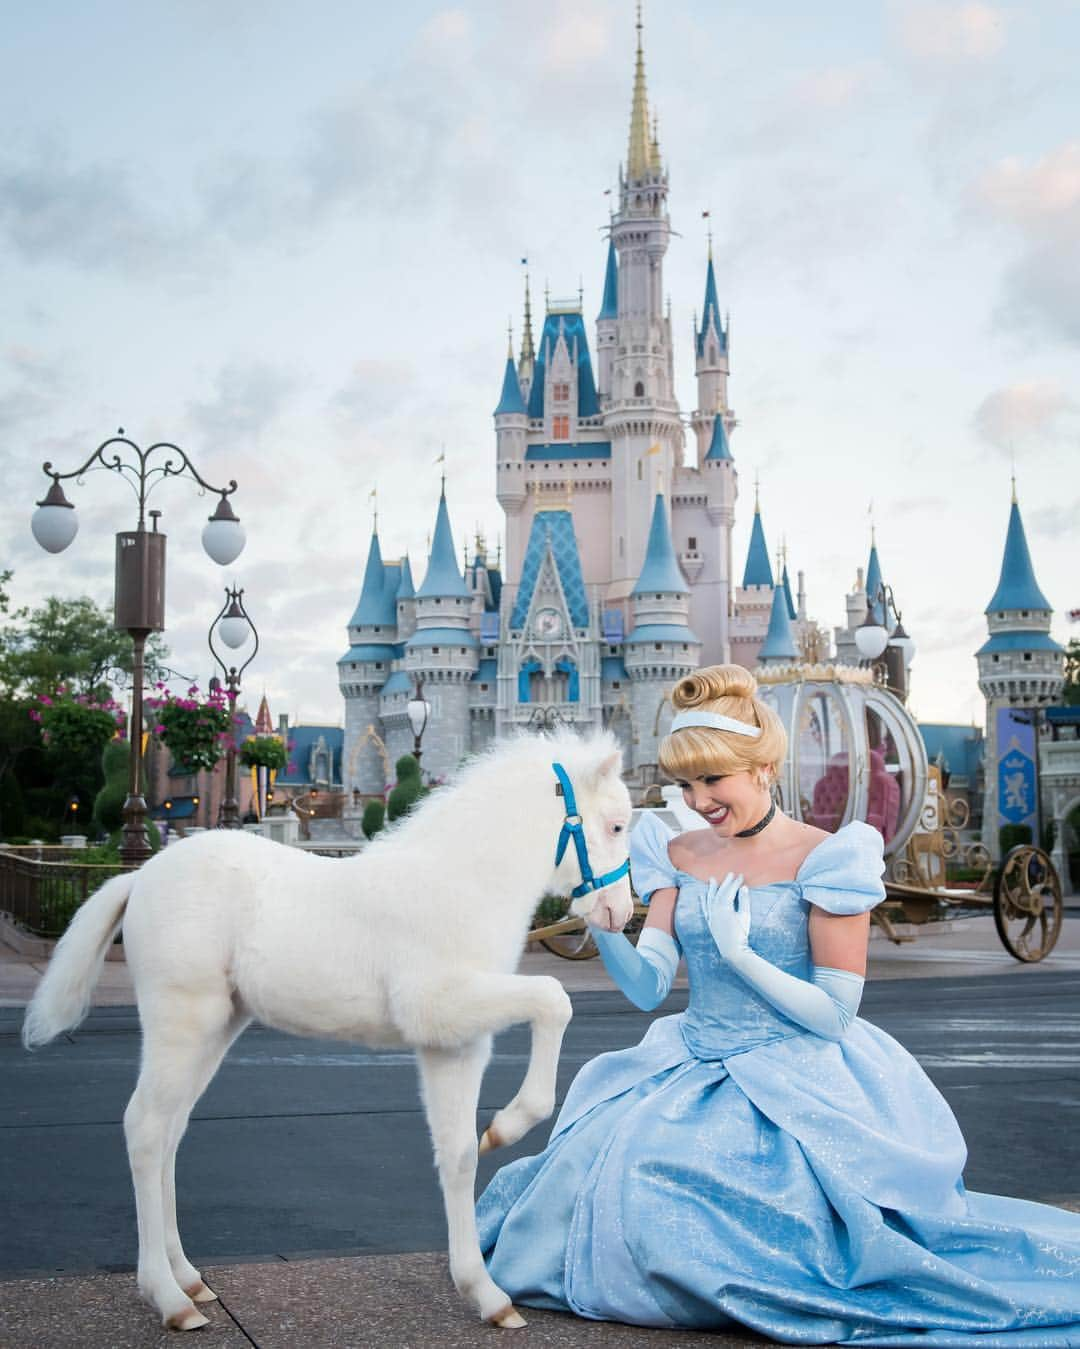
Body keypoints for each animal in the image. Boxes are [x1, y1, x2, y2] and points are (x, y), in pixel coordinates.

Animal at [23, 728, 631, 1327]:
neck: (460, 885)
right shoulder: (441, 1004)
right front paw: (509, 1125)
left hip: (215, 1030)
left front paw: (487, 1292)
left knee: (170, 1132)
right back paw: (169, 1300)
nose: (621, 913)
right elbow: (554, 1000)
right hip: (182, 1021)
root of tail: (140, 876)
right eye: (618, 824)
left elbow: (459, 1155)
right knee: (147, 1129)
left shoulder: (455, 1043)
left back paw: (190, 1280)